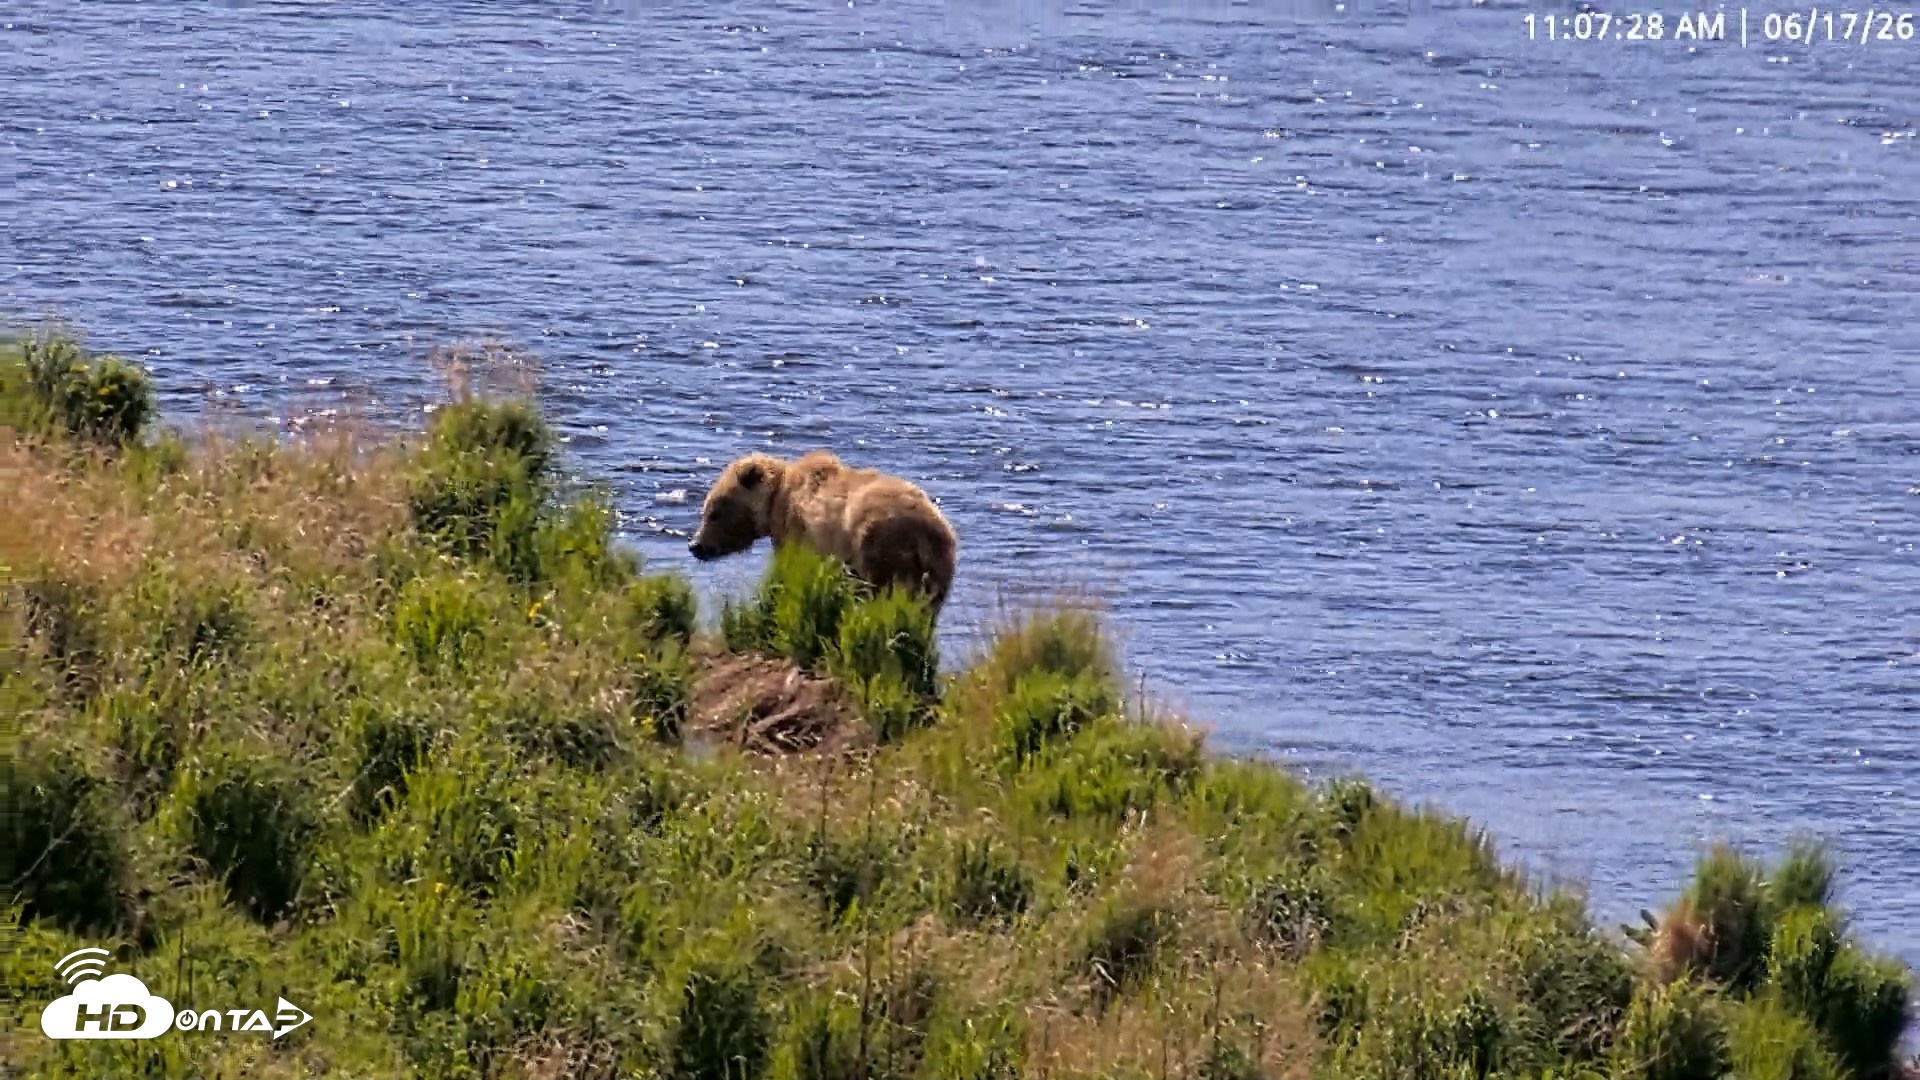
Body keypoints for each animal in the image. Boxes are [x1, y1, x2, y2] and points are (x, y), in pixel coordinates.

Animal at [688, 449, 959, 625]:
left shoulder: (797, 533)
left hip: (879, 546)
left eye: (714, 512)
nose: (695, 545)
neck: (774, 500)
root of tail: (926, 533)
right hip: (939, 568)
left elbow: (790, 571)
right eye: (707, 510)